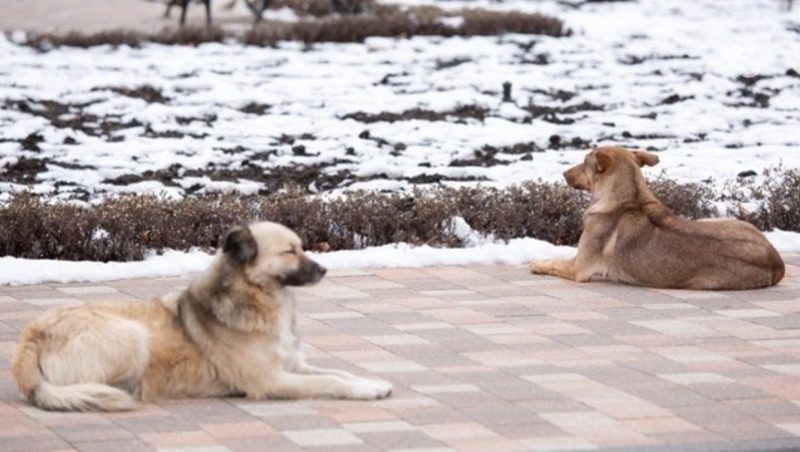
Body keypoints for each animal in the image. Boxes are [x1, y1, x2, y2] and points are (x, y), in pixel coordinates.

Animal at [13, 221, 394, 412]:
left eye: (301, 247)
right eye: (290, 251)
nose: (325, 269)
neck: (258, 298)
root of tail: (30, 339)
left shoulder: (291, 365)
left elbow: (340, 372)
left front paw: (371, 382)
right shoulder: (270, 380)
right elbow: (331, 382)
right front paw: (366, 391)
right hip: (132, 335)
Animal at [528, 147, 784, 292]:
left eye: (584, 162)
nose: (563, 173)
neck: (630, 198)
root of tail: (777, 262)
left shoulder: (578, 268)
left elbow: (554, 262)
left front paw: (537, 264)